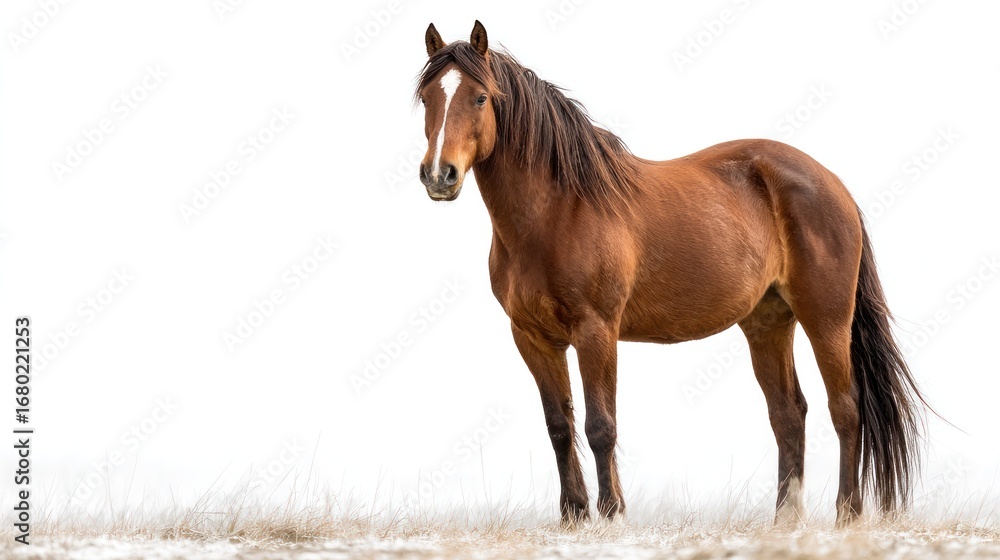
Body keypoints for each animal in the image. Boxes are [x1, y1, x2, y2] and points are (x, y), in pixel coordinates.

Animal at [413, 20, 926, 526]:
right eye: (426, 98)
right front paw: (574, 515)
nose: (439, 175)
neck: (558, 209)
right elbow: (559, 425)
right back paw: (785, 518)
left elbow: (600, 426)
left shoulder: (596, 330)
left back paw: (847, 515)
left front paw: (612, 514)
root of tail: (834, 184)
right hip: (768, 322)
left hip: (827, 319)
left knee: (846, 409)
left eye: (480, 97)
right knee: (788, 413)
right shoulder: (532, 337)